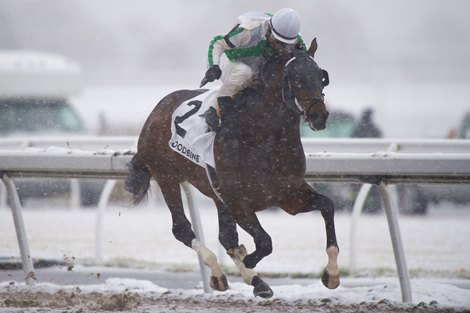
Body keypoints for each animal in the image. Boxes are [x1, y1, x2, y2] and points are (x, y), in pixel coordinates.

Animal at [125, 37, 338, 296]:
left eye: (321, 75)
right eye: (295, 76)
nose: (319, 116)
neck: (265, 139)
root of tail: (156, 111)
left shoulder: (288, 195)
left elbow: (328, 206)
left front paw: (331, 275)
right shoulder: (239, 202)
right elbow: (265, 242)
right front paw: (248, 259)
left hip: (215, 194)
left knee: (225, 237)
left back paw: (255, 280)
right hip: (166, 175)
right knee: (182, 228)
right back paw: (219, 273)